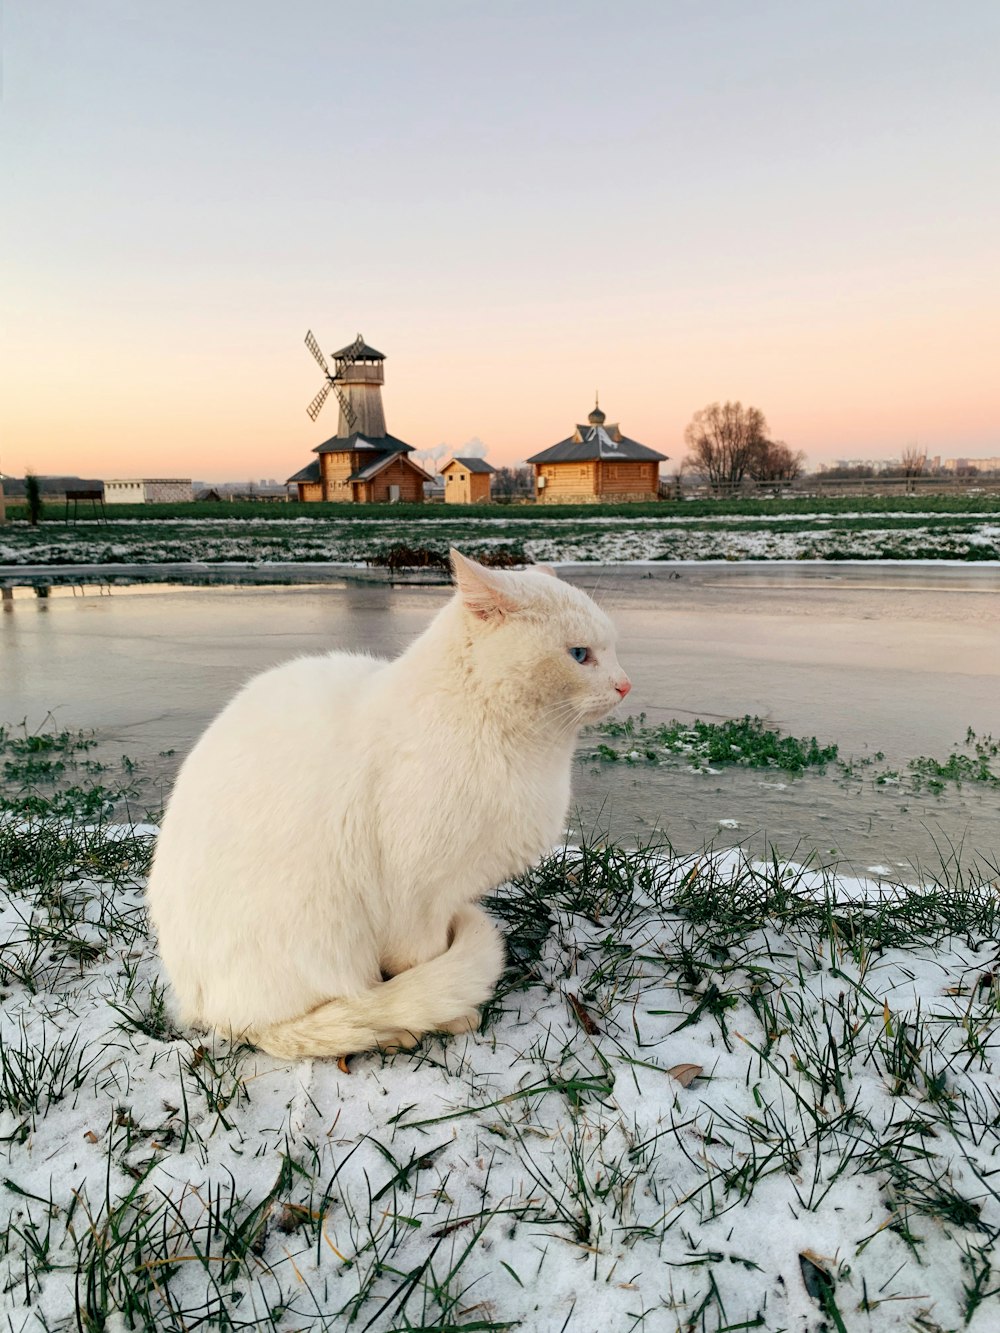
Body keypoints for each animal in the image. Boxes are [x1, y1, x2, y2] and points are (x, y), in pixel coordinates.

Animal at [144, 546, 629, 1055]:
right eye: (580, 655)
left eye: (613, 649)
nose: (625, 684)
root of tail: (199, 1005)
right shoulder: (416, 901)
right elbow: (418, 963)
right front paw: (451, 1017)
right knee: (301, 1025)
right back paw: (397, 1028)